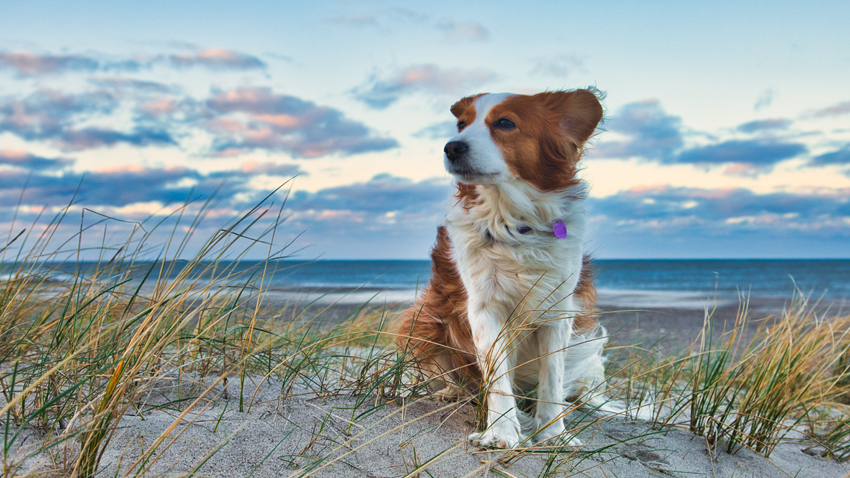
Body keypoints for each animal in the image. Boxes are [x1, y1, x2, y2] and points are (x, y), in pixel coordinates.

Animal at [398, 88, 636, 448]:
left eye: (505, 123)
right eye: (461, 124)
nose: (451, 147)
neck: (511, 222)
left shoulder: (558, 309)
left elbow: (552, 378)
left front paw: (553, 434)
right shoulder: (483, 308)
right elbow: (498, 378)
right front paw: (501, 432)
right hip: (425, 318)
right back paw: (448, 392)